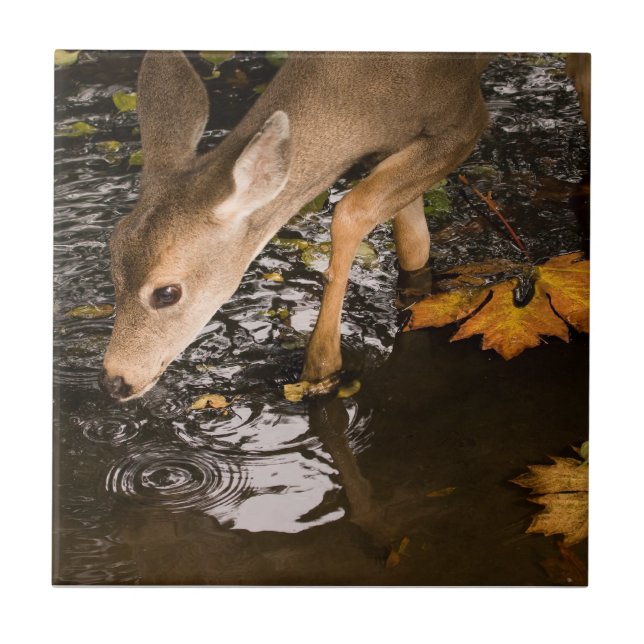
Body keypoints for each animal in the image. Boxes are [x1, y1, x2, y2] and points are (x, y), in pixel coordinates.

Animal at [100, 51, 492, 401]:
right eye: (113, 269)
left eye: (167, 292)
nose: (117, 380)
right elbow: (413, 243)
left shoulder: (465, 119)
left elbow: (351, 211)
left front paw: (322, 367)